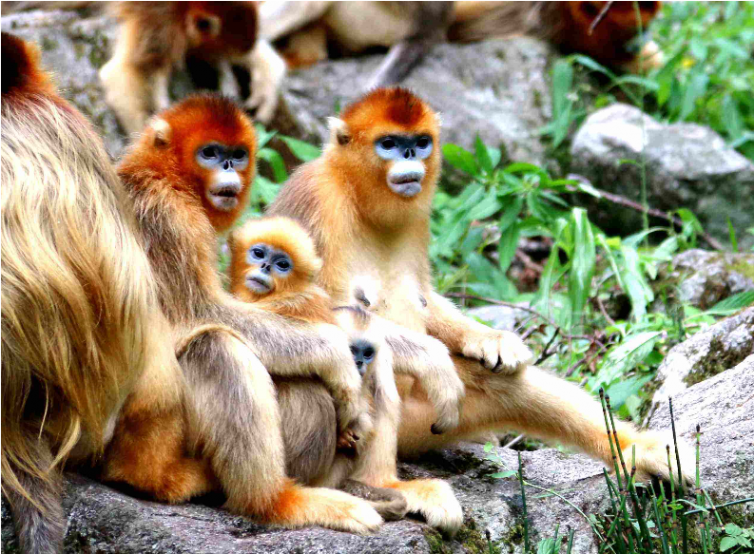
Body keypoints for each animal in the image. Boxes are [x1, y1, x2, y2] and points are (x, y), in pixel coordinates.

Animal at [266, 88, 692, 490]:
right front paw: (433, 359)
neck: (357, 194)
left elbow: (424, 299)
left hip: (421, 424)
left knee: (505, 383)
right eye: (388, 143)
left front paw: (491, 339)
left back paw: (637, 452)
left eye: (420, 141)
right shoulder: (317, 200)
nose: (410, 154)